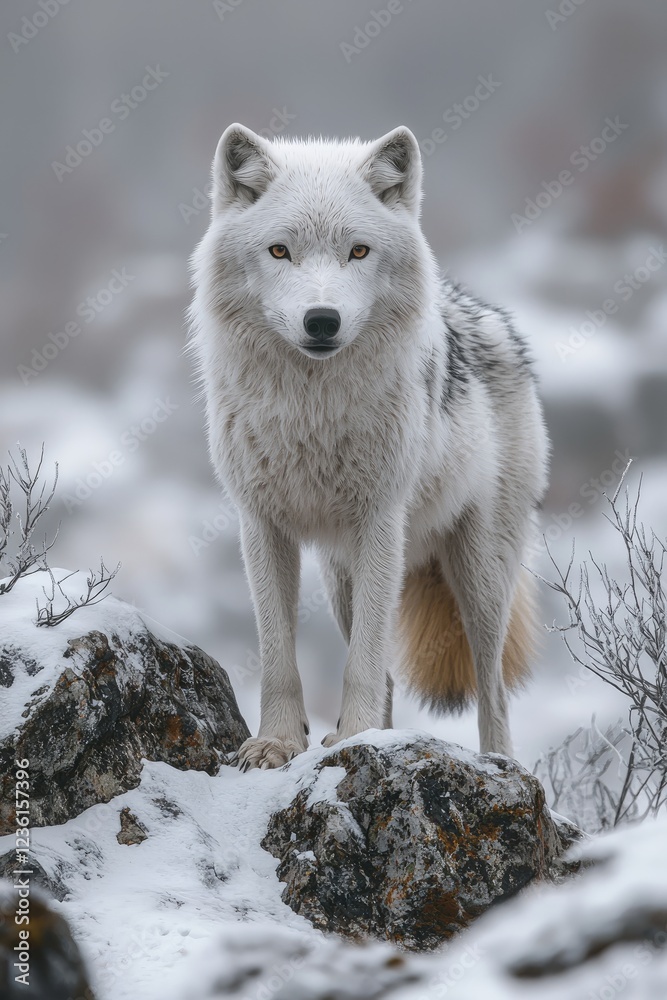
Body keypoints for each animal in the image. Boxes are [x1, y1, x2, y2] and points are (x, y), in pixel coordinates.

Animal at [189, 123, 549, 770]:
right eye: (279, 251)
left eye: (358, 252)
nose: (322, 320)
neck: (311, 413)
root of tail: (490, 317)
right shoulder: (261, 525)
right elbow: (278, 655)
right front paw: (279, 744)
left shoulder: (380, 520)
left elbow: (363, 659)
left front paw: (355, 738)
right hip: (341, 577)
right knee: (384, 670)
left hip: (480, 574)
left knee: (492, 686)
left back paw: (498, 763)